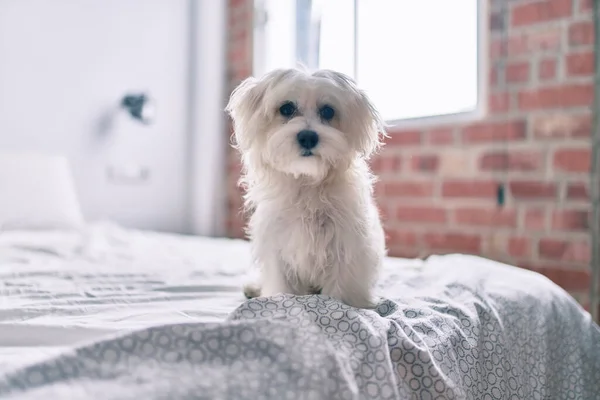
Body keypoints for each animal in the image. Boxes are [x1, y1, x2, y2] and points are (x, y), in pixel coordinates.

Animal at [226, 67, 390, 308]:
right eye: (286, 108)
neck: (307, 183)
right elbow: (283, 287)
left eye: (328, 111)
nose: (307, 137)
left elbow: (341, 292)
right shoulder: (279, 247)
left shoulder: (346, 246)